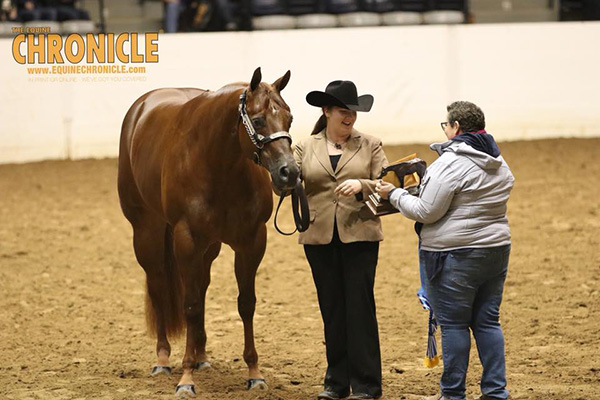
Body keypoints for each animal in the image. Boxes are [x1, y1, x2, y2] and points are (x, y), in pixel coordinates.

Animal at [116, 69, 298, 396]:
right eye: (258, 120)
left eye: (289, 118)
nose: (289, 173)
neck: (218, 164)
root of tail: (141, 109)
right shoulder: (186, 240)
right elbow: (188, 307)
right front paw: (186, 378)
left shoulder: (252, 242)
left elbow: (245, 304)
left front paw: (255, 374)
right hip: (147, 232)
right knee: (159, 286)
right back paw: (163, 360)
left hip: (209, 248)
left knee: (200, 288)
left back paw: (201, 356)